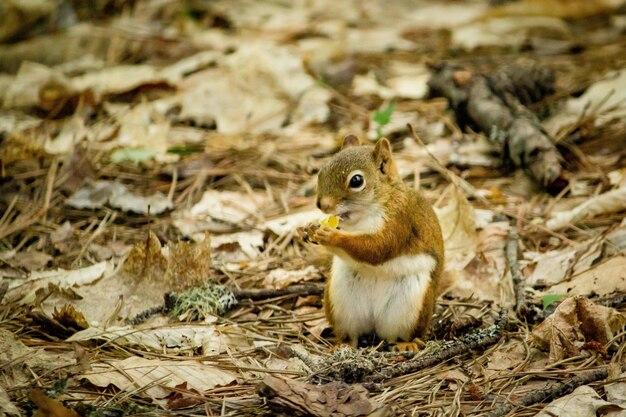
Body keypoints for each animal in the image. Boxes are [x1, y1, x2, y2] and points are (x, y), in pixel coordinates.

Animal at [300, 135, 442, 350]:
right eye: (321, 171)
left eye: (356, 181)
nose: (322, 205)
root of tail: (374, 323)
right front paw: (310, 228)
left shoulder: (401, 220)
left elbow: (376, 249)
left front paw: (332, 236)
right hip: (340, 301)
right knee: (351, 333)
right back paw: (344, 344)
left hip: (412, 304)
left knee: (400, 334)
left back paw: (406, 344)